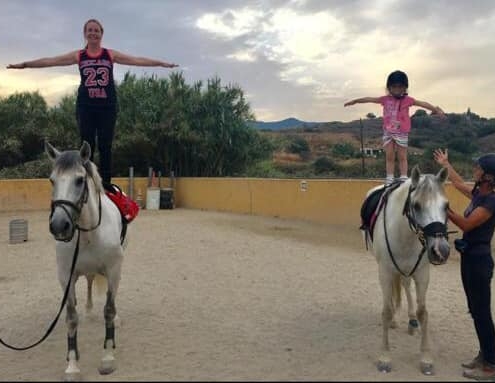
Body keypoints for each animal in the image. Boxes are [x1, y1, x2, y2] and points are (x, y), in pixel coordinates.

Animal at [46, 141, 126, 380]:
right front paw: (72, 366)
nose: (59, 225)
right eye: (52, 180)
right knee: (90, 281)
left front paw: (107, 358)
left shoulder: (113, 271)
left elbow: (109, 310)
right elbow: (71, 318)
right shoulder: (66, 277)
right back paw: (89, 310)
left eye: (80, 180)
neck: (89, 234)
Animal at [362, 166, 452, 376]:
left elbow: (423, 312)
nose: (440, 251)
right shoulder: (385, 272)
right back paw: (396, 319)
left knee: (404, 284)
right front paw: (385, 357)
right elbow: (386, 311)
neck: (405, 233)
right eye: (416, 206)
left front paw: (426, 359)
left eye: (446, 206)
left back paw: (411, 320)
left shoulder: (422, 273)